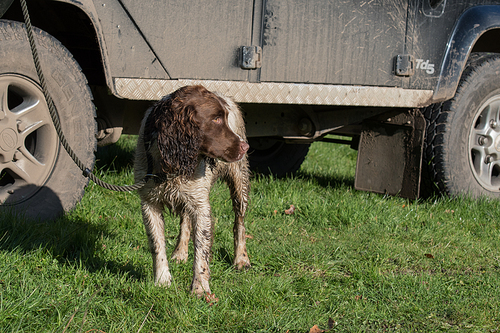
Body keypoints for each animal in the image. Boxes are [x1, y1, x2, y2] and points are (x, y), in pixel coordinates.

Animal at [134, 85, 250, 296]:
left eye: (225, 117)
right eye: (216, 119)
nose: (246, 147)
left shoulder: (201, 206)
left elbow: (201, 250)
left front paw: (200, 288)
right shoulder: (149, 202)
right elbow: (157, 244)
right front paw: (162, 280)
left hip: (240, 182)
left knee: (240, 221)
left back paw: (241, 259)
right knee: (185, 221)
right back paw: (180, 252)